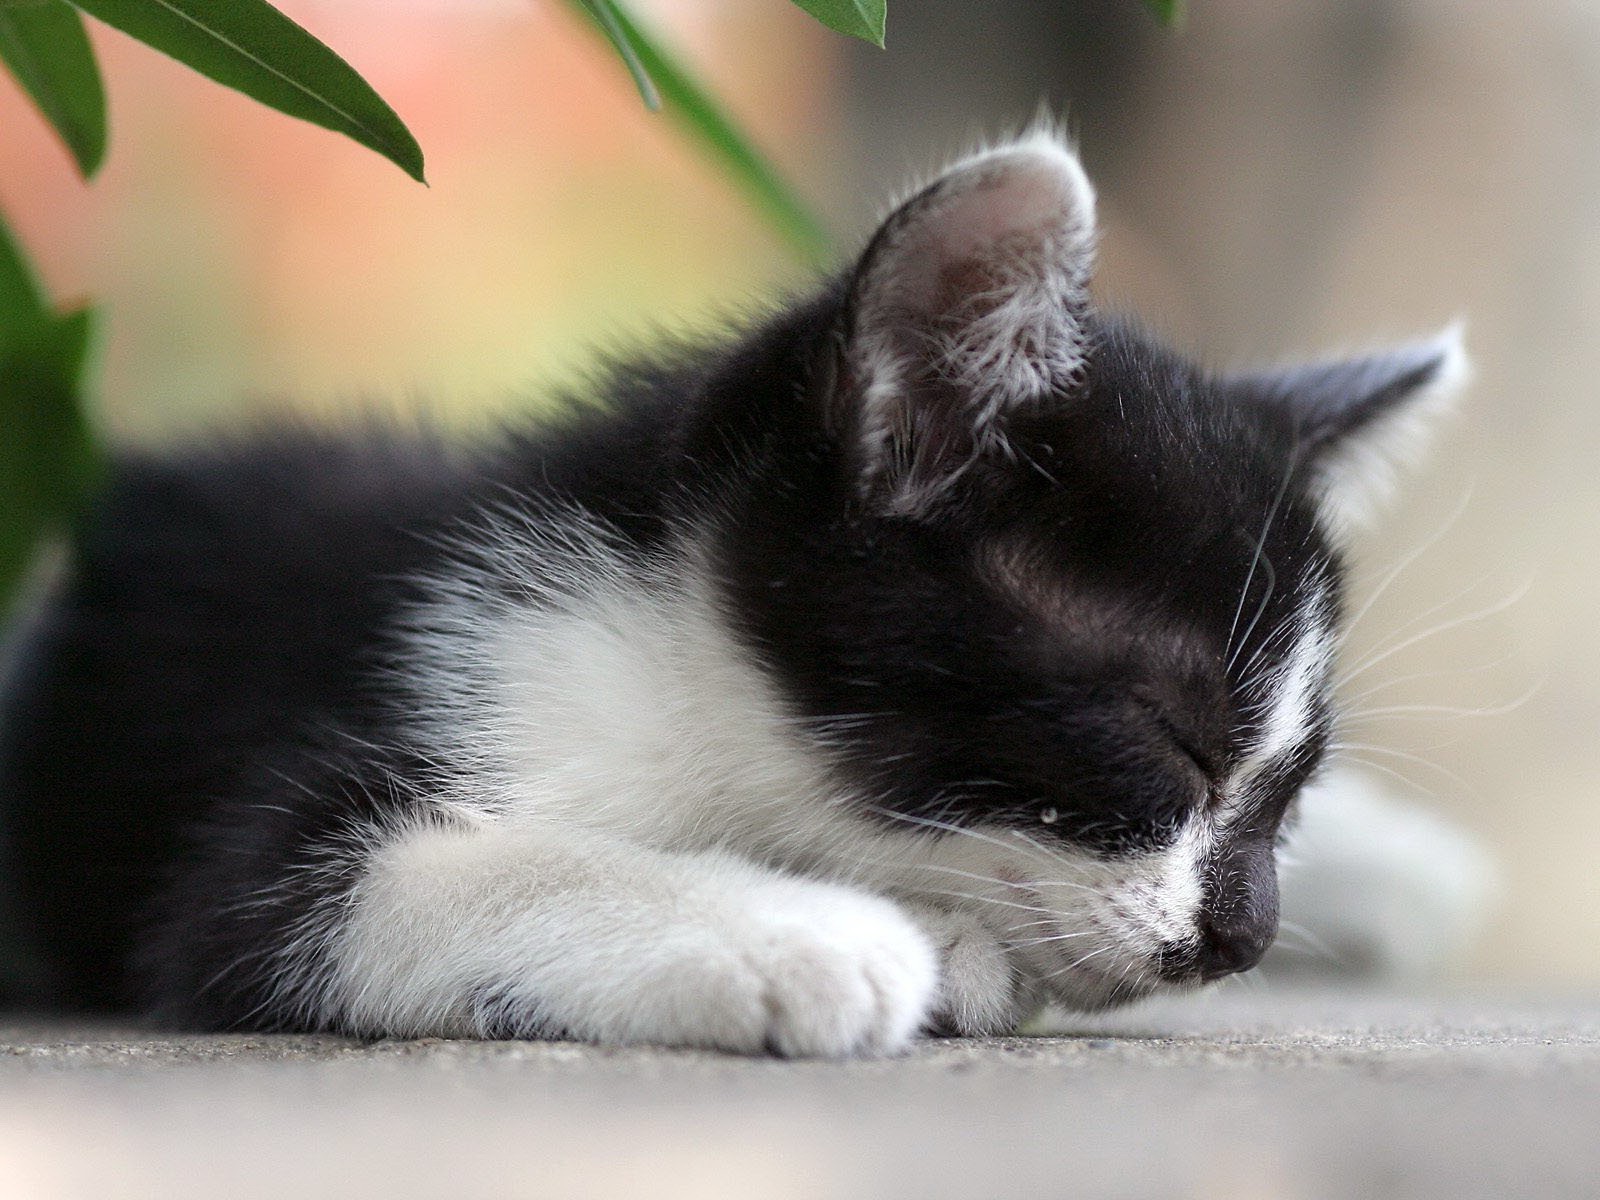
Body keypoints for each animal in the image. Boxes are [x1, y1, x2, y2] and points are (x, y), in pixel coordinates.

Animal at [0, 133, 1465, 1049]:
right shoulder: (307, 793)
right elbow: (398, 876)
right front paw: (806, 933)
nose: (1244, 937)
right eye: (1168, 738)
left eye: (1290, 786)